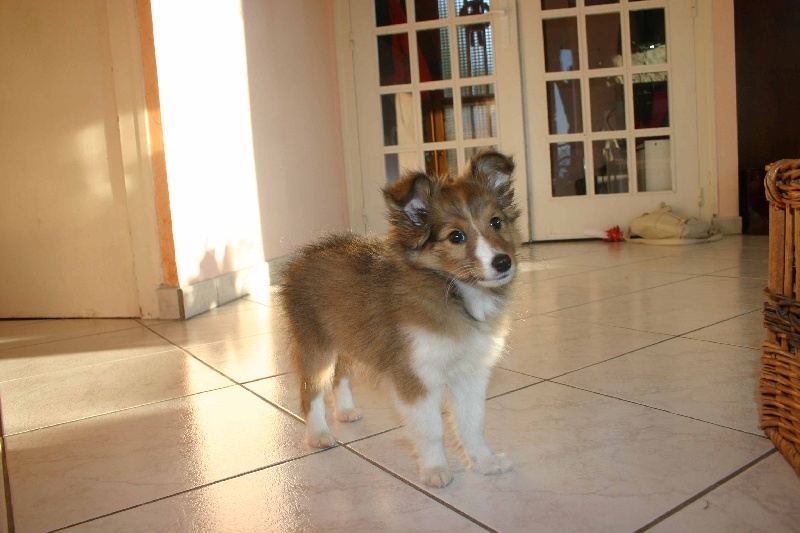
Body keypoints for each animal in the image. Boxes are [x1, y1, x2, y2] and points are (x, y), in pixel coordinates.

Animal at [280, 149, 520, 486]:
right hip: (316, 346)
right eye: (456, 236)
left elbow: (472, 424)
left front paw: (484, 462)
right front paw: (435, 470)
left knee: (340, 376)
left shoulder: (471, 373)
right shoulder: (417, 374)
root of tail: (303, 257)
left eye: (496, 222)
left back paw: (346, 412)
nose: (503, 262)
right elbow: (432, 430)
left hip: (351, 340)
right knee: (311, 391)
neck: (454, 291)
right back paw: (318, 435)